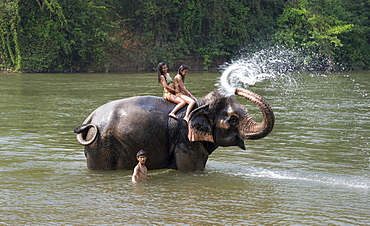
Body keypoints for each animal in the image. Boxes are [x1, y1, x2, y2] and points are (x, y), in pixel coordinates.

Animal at [73, 88, 274, 171]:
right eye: (233, 119)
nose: (237, 88)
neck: (200, 104)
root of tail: (90, 117)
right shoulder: (184, 139)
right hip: (101, 145)